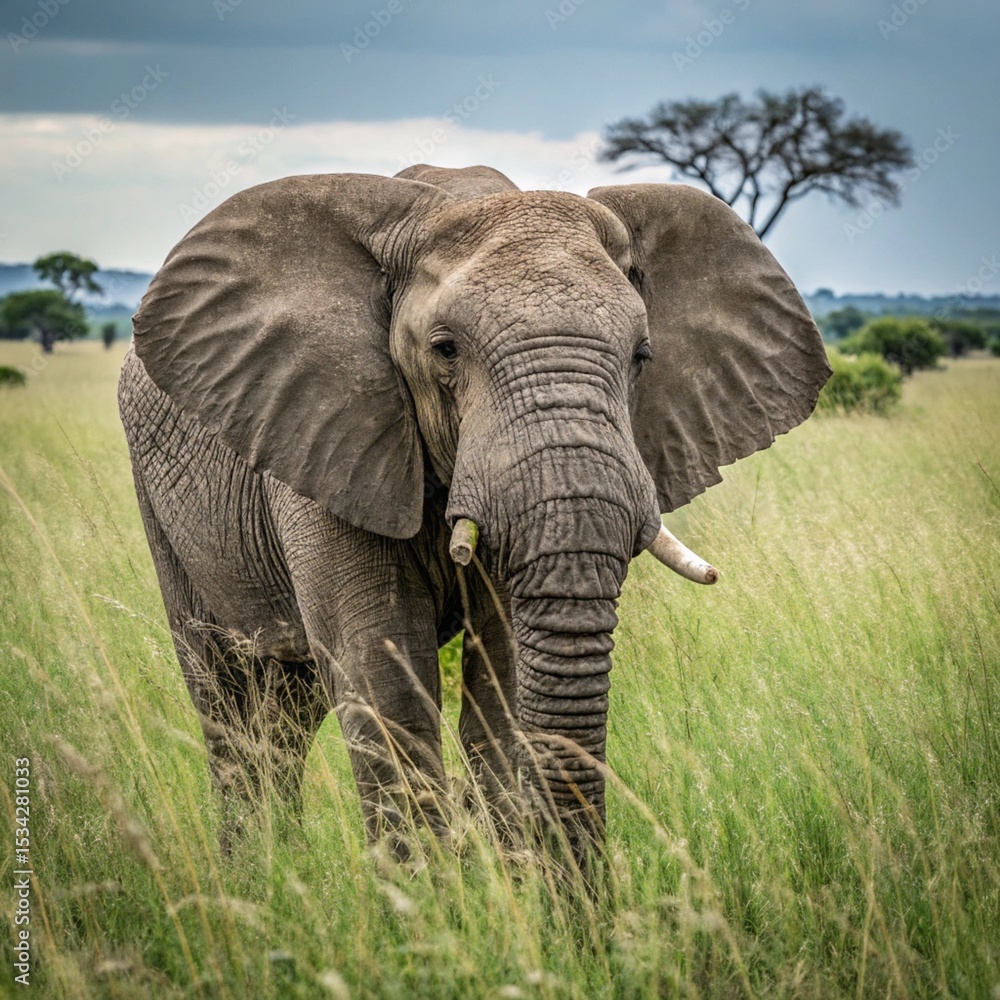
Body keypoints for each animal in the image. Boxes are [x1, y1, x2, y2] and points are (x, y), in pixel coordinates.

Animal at [118, 163, 830, 863]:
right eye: (445, 349)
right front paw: (427, 896)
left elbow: (505, 686)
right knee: (226, 701)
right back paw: (255, 875)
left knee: (286, 710)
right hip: (159, 499)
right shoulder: (328, 431)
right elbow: (384, 678)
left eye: (642, 355)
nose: (589, 895)